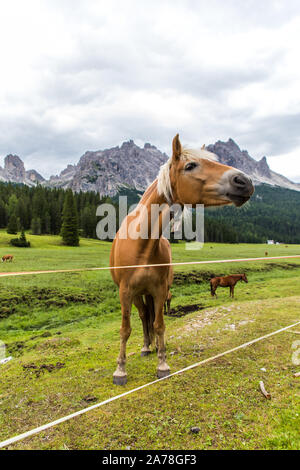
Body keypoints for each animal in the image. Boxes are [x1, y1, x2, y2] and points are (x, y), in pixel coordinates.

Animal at [109, 134, 254, 384]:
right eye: (190, 165)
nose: (243, 181)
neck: (142, 246)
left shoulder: (159, 290)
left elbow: (159, 324)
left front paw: (162, 364)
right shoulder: (126, 292)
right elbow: (125, 329)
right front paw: (120, 370)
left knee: (150, 318)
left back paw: (154, 347)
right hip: (137, 295)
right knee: (142, 316)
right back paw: (146, 347)